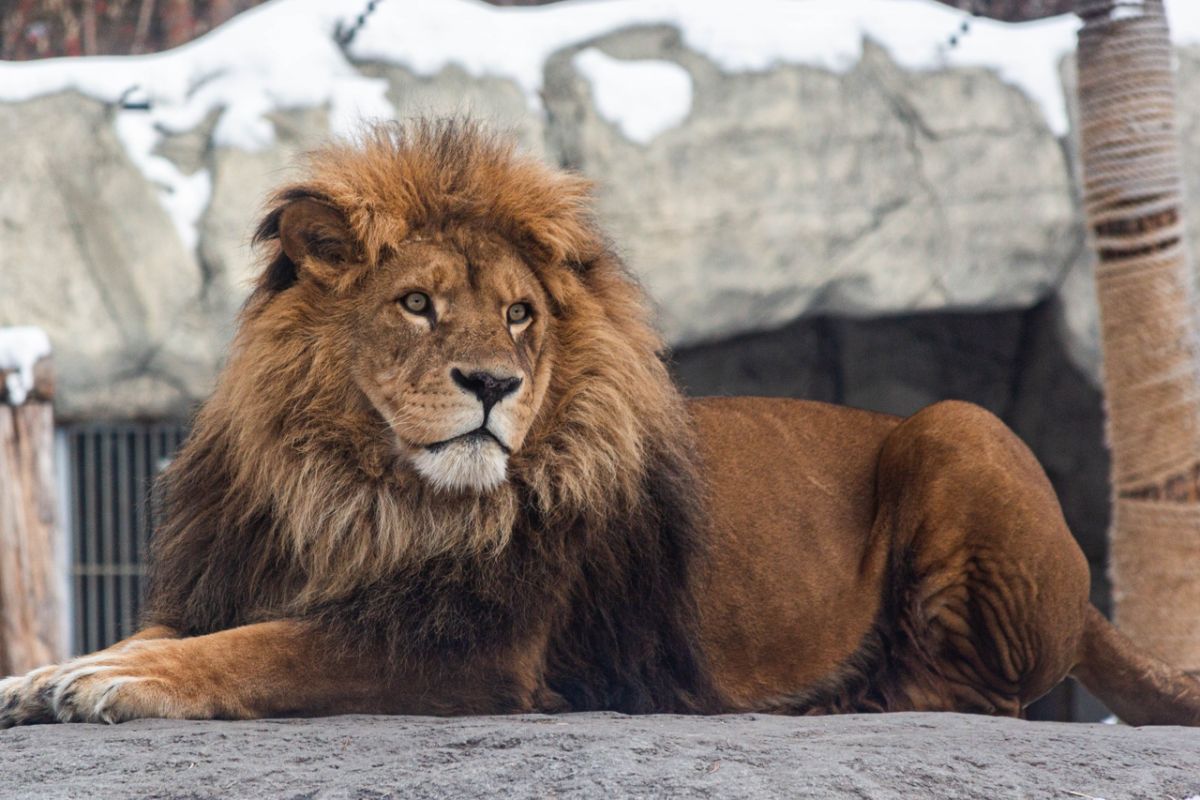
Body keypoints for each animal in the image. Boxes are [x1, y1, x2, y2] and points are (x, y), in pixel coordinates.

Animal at [2, 122, 1200, 729]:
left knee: (985, 692)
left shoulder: (476, 647)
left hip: (960, 424)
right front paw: (46, 675)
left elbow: (263, 650)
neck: (358, 490)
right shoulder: (244, 573)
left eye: (520, 314)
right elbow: (181, 630)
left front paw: (116, 685)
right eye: (417, 304)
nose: (492, 382)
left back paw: (843, 693)